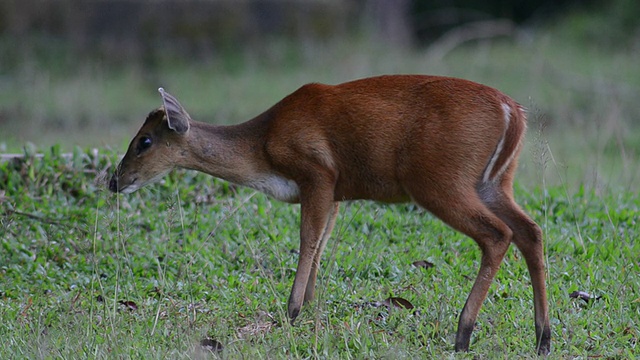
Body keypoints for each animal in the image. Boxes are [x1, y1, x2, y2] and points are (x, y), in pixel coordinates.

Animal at [109, 74, 552, 352]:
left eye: (144, 141)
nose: (115, 181)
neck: (262, 146)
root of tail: (513, 112)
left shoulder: (317, 172)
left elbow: (308, 240)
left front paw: (291, 311)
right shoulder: (337, 191)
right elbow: (321, 245)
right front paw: (308, 308)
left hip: (439, 179)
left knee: (497, 234)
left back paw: (463, 333)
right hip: (496, 181)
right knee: (530, 230)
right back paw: (542, 338)